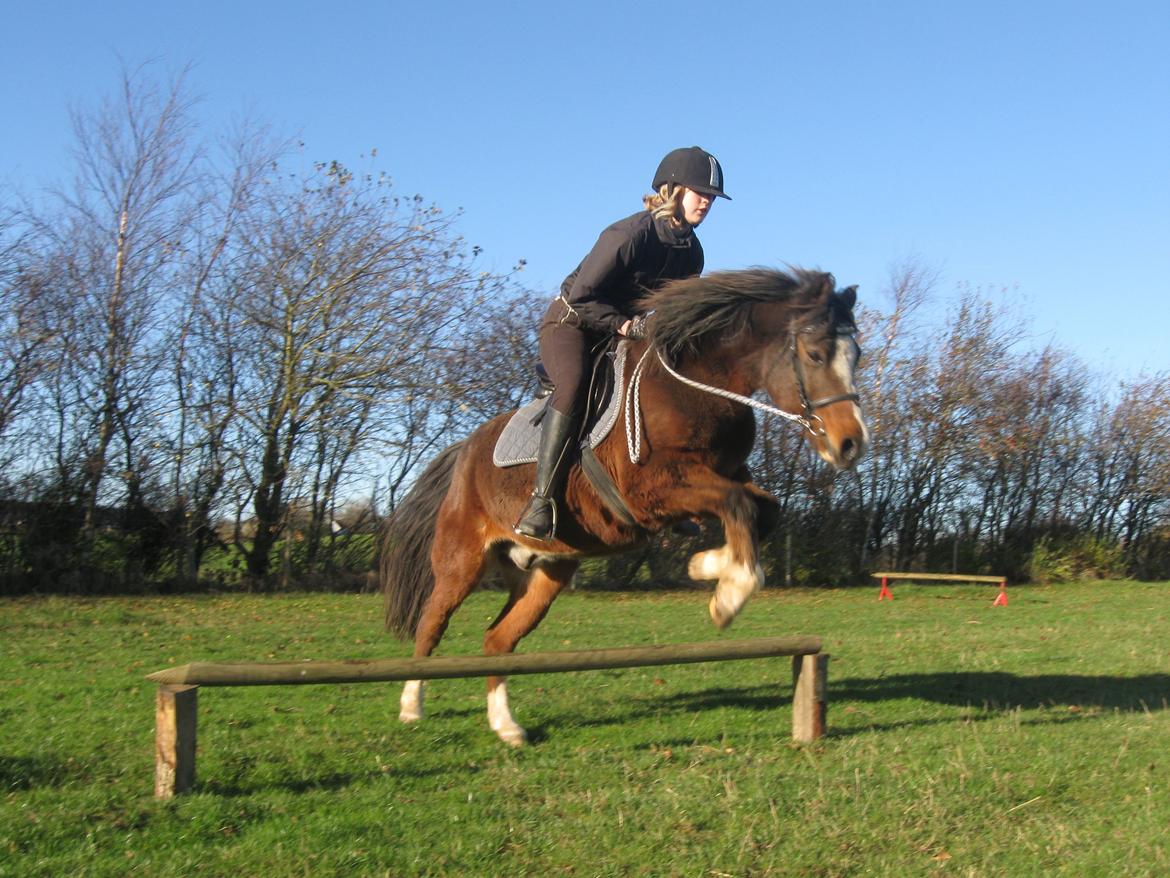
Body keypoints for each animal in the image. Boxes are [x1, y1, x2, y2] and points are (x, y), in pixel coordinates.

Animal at [379, 266, 865, 744]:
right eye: (815, 355)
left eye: (856, 355)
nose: (850, 445)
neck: (699, 386)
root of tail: (464, 450)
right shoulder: (650, 490)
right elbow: (741, 506)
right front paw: (727, 596)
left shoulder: (723, 477)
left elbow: (763, 509)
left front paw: (706, 566)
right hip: (462, 561)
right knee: (432, 624)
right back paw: (410, 706)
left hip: (545, 572)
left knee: (498, 640)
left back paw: (507, 726)